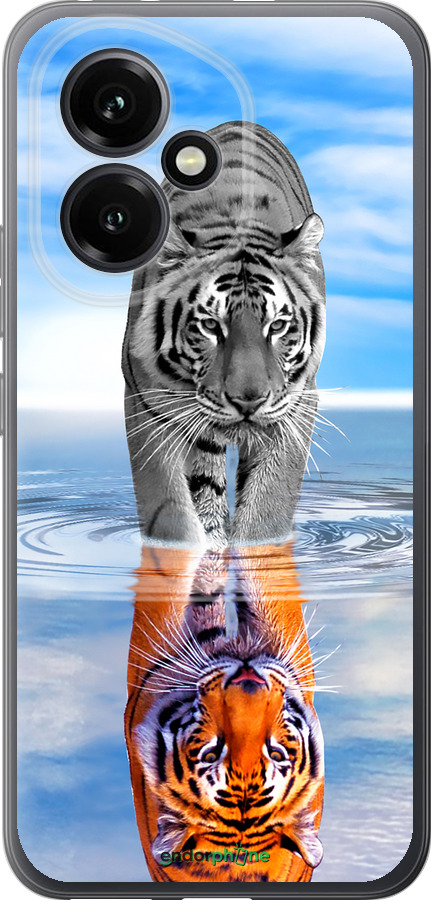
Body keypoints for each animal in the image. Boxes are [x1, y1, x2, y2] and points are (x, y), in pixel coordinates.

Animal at [122, 121, 326, 548]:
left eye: (277, 326)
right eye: (210, 325)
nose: (248, 401)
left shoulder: (297, 404)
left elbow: (268, 508)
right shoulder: (146, 402)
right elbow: (170, 511)